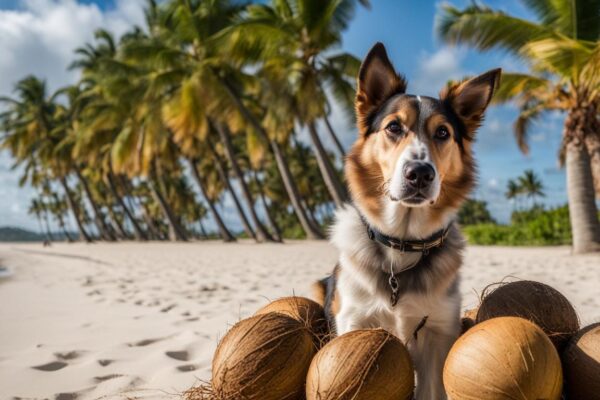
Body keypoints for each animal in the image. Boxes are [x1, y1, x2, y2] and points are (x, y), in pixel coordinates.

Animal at [314, 42, 502, 398]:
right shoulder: (354, 321)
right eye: (393, 127)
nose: (420, 174)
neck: (402, 240)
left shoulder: (439, 335)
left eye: (442, 132)